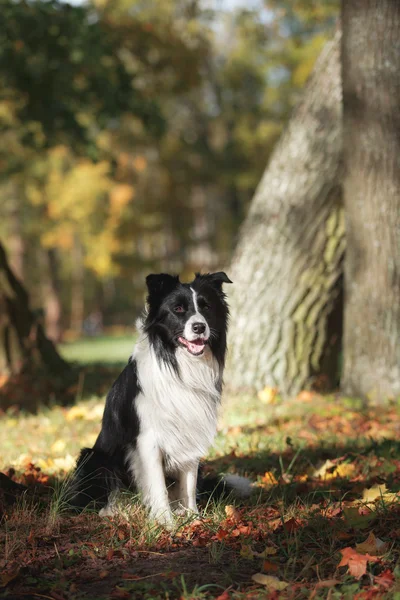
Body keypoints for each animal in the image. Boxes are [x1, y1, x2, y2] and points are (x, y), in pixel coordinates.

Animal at [70, 270, 242, 528]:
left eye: (206, 306)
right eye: (178, 309)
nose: (199, 327)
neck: (179, 364)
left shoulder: (190, 434)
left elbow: (188, 484)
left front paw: (192, 518)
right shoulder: (148, 439)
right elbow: (157, 483)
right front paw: (165, 522)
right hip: (93, 457)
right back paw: (111, 510)